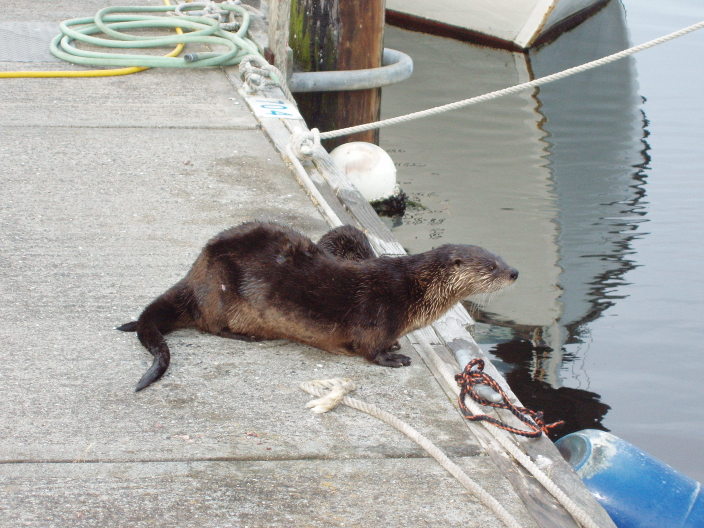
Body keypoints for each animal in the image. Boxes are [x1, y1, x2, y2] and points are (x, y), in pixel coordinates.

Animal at [118, 221, 518, 391]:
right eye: (491, 267)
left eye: (501, 257)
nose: (514, 271)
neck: (414, 291)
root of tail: (195, 270)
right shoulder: (377, 312)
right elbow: (370, 348)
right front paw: (393, 358)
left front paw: (396, 345)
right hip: (219, 289)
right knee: (210, 324)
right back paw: (247, 337)